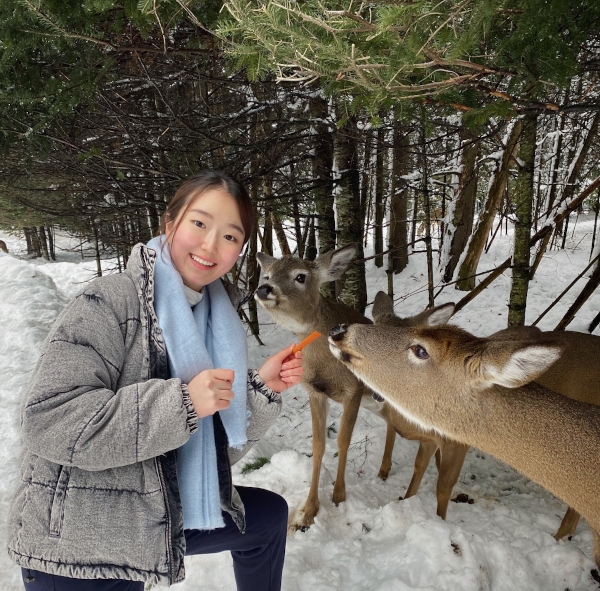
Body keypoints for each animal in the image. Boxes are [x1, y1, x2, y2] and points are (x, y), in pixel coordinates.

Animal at [253, 245, 454, 532]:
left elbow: (343, 440)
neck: (325, 367)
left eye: (301, 276)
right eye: (267, 274)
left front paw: (339, 496)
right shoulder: (315, 392)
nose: (264, 289)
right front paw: (308, 511)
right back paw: (384, 470)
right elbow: (318, 444)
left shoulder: (354, 391)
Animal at [376, 292, 600, 540]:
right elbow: (417, 470)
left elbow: (443, 486)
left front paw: (441, 524)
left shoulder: (456, 440)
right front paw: (405, 502)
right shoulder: (430, 440)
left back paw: (559, 537)